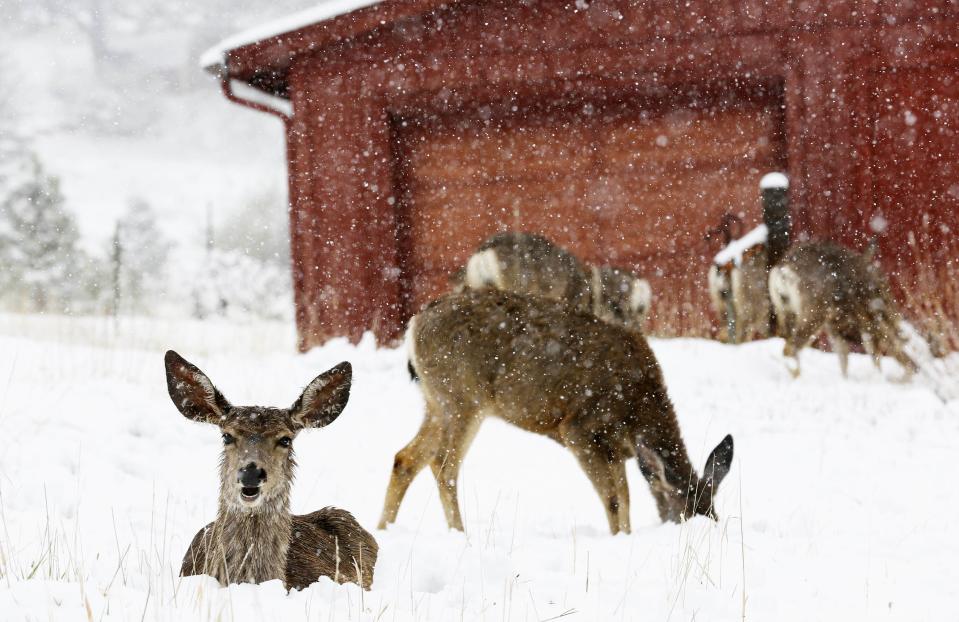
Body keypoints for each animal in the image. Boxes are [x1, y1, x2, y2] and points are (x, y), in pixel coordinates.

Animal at [376, 292, 736, 536]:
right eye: (685, 515)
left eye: (714, 513)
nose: (710, 533)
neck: (637, 407)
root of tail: (414, 325)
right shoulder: (578, 428)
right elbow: (613, 497)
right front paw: (619, 537)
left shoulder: (614, 447)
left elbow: (625, 496)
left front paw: (627, 536)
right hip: (462, 398)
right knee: (443, 464)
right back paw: (460, 534)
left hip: (436, 401)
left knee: (406, 457)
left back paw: (383, 528)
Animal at [768, 243, 920, 380]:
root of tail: (783, 270)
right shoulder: (871, 326)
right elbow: (879, 358)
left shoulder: (836, 331)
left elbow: (844, 361)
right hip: (814, 314)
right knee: (790, 348)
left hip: (787, 312)